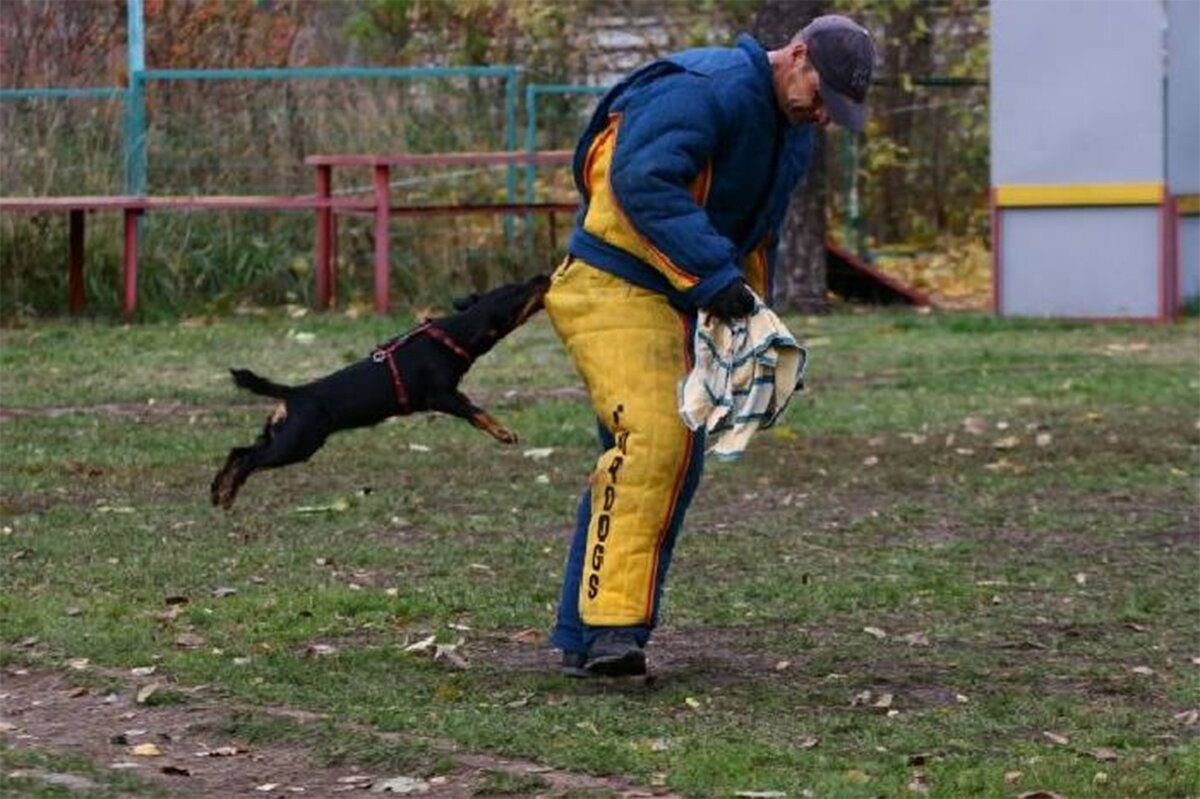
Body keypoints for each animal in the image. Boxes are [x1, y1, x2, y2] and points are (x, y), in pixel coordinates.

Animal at [213, 273, 549, 506]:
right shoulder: (441, 396)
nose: (543, 276)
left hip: (280, 436)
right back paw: (227, 494)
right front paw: (503, 432)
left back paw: (218, 489)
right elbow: (476, 412)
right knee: (248, 461)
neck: (451, 335)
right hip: (298, 443)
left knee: (238, 451)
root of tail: (293, 394)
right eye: (516, 292)